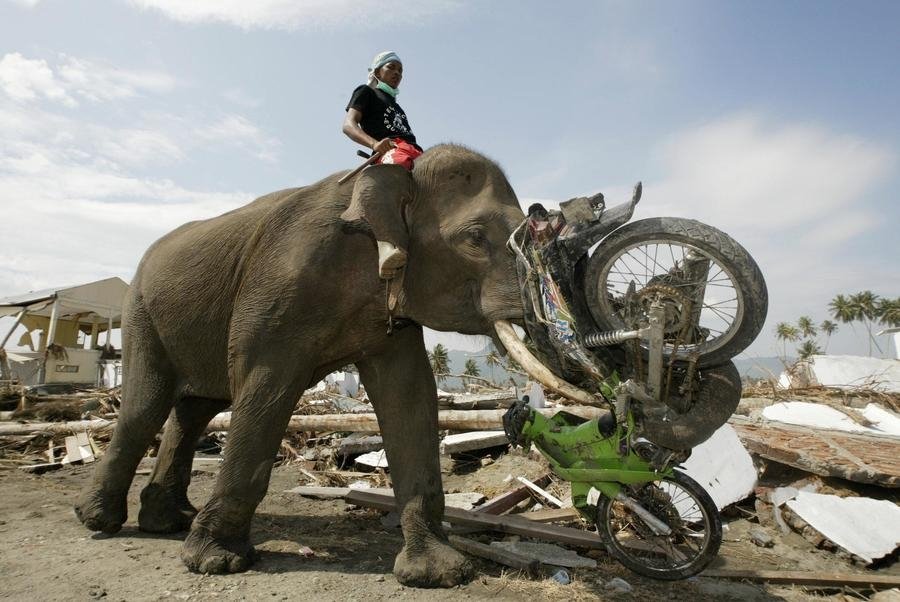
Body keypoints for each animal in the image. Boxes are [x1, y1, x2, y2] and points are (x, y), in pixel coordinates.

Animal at [74, 144, 536, 584]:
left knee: (194, 410)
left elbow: (409, 395)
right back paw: (98, 520)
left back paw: (167, 522)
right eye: (475, 238)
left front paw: (438, 573)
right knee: (145, 407)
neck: (399, 173)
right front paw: (215, 562)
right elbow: (264, 388)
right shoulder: (279, 288)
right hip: (140, 313)